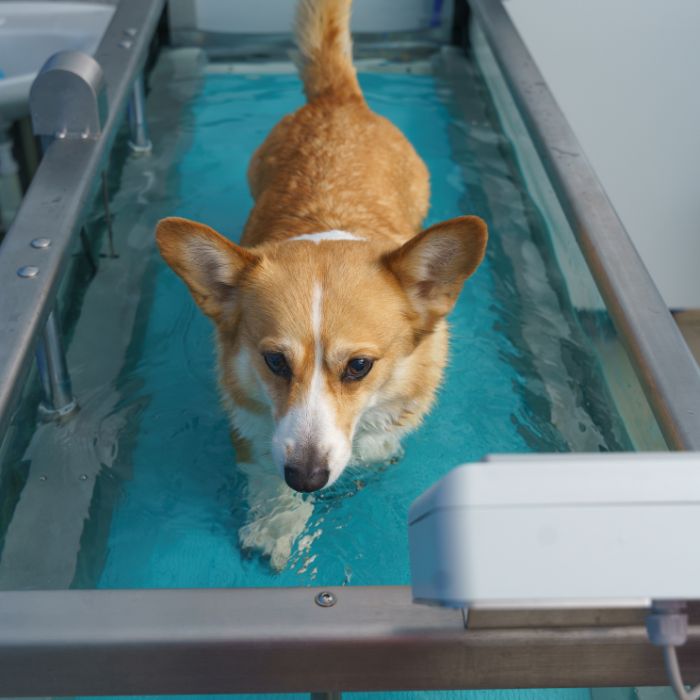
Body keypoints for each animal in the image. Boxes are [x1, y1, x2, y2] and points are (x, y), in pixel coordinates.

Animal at [157, 0, 486, 568]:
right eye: (273, 361)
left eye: (359, 367)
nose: (307, 477)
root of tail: (339, 97)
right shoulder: (252, 424)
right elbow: (267, 469)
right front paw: (278, 519)